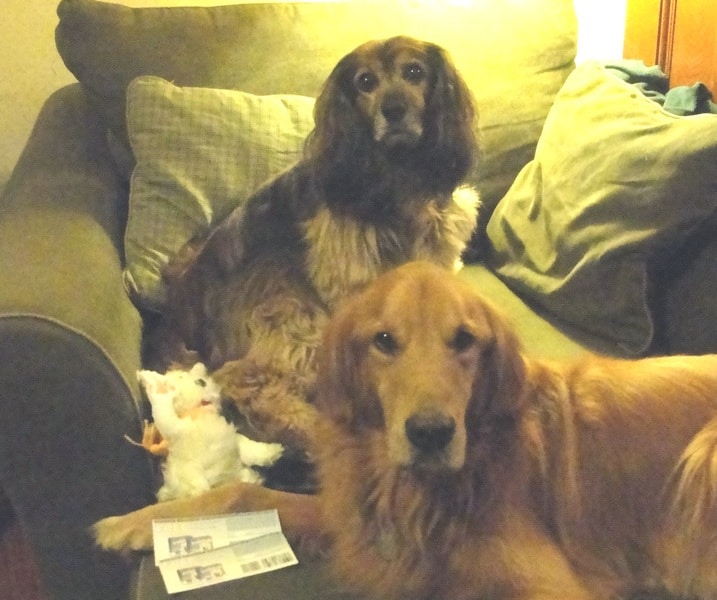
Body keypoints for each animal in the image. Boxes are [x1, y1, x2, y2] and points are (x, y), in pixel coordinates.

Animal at [98, 261, 717, 600]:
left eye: (464, 340)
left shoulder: (549, 584)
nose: (431, 434)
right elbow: (243, 494)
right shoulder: (354, 517)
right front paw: (134, 522)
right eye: (384, 341)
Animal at [153, 36, 480, 449]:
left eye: (414, 71)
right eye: (365, 81)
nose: (393, 110)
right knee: (249, 382)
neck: (398, 174)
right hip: (291, 308)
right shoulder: (349, 278)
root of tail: (178, 313)